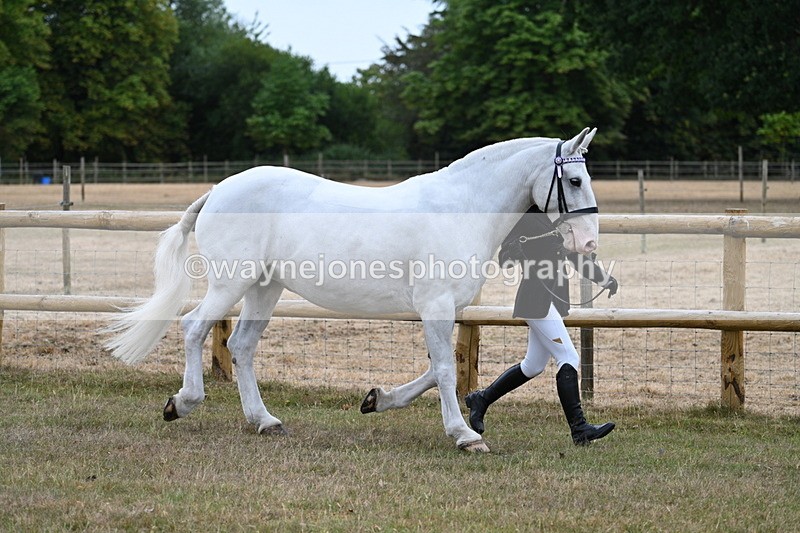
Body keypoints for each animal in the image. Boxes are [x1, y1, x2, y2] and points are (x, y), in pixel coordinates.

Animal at [105, 127, 600, 453]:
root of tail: (217, 190)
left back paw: (265, 421)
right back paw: (182, 403)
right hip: (232, 282)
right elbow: (443, 370)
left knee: (241, 346)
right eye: (575, 180)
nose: (589, 243)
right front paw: (464, 435)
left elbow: (439, 368)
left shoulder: (445, 309)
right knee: (193, 329)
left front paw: (378, 399)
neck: (460, 208)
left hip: (265, 287)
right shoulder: (435, 304)